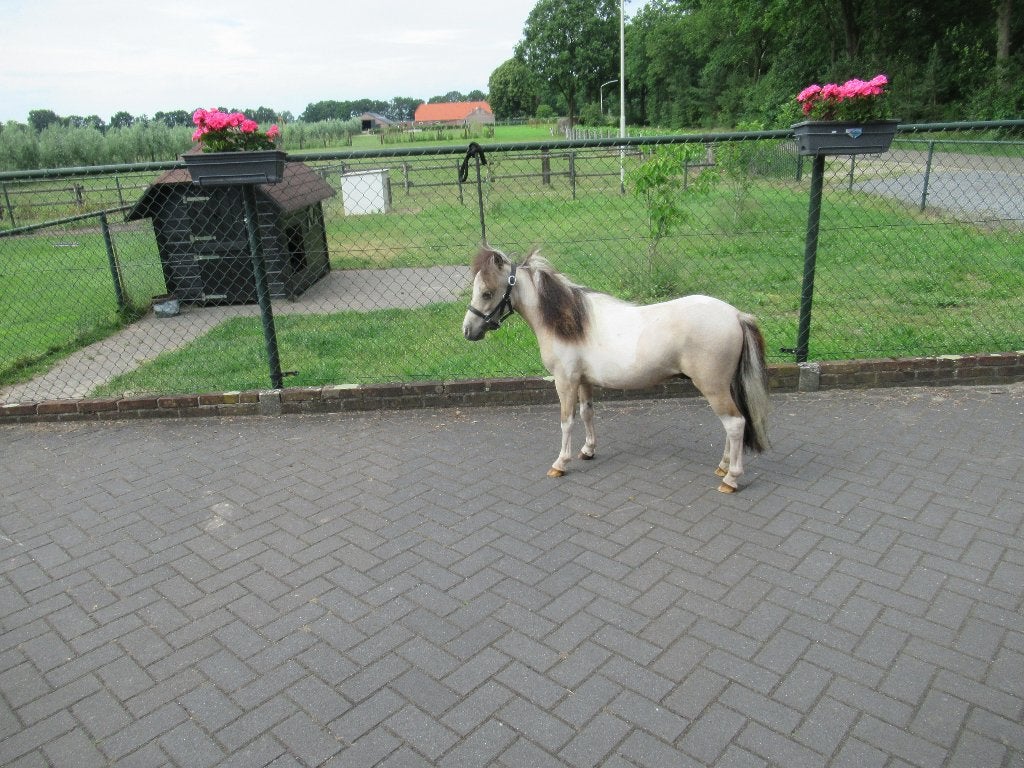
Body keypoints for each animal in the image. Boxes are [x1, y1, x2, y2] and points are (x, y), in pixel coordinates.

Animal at [462, 247, 771, 493]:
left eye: (487, 292)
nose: (468, 331)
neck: (569, 322)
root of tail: (736, 315)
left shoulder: (565, 381)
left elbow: (566, 421)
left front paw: (561, 463)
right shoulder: (583, 381)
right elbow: (587, 413)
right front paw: (588, 450)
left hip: (713, 387)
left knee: (734, 424)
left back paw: (730, 479)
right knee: (734, 424)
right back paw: (723, 466)